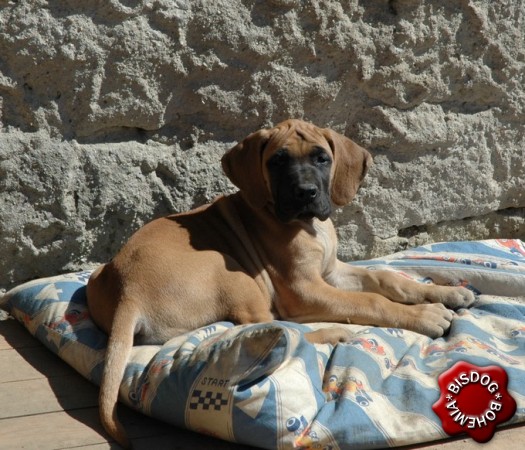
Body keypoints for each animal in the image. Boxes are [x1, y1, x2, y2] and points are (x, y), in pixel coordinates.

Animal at [87, 119, 475, 447]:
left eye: (322, 158)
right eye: (277, 162)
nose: (306, 193)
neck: (307, 225)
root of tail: (127, 293)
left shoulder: (332, 272)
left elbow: (388, 279)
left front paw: (446, 291)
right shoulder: (305, 290)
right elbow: (373, 302)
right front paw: (426, 315)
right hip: (231, 269)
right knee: (275, 327)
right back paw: (334, 332)